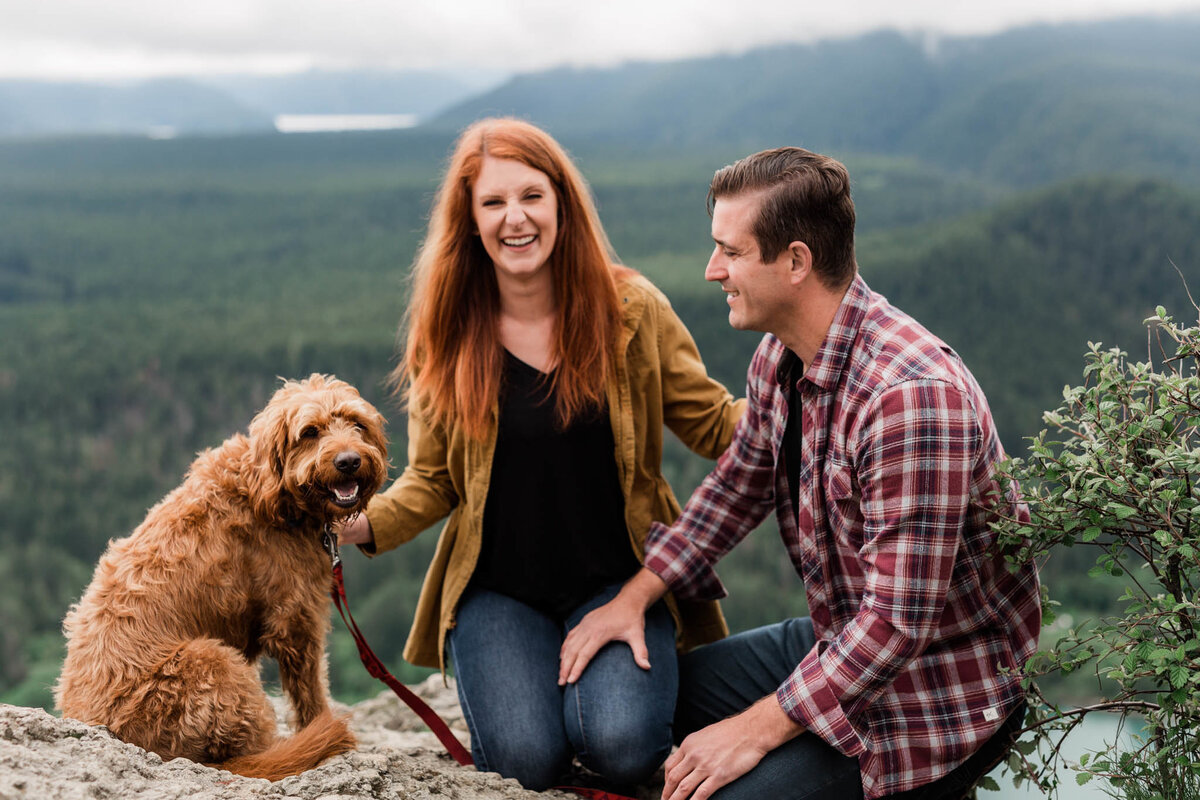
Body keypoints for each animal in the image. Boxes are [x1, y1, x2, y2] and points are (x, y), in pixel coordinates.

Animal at [56, 376, 386, 782]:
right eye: (310, 432)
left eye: (357, 424)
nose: (349, 461)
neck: (270, 492)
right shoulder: (296, 618)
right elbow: (310, 690)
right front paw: (321, 726)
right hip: (215, 664)